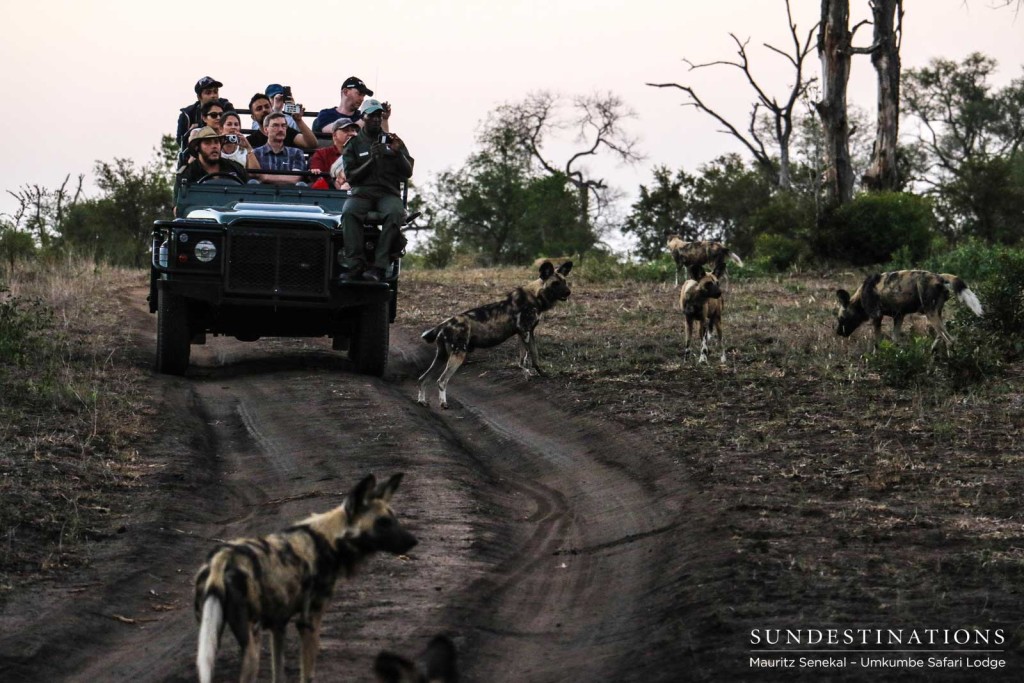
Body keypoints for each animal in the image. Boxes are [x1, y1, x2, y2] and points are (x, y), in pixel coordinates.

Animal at [192, 475, 415, 683]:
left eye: (393, 519)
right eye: (382, 523)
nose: (414, 540)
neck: (330, 539)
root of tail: (223, 558)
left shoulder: (278, 626)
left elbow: (278, 673)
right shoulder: (310, 622)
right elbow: (307, 675)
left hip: (210, 635)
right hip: (252, 643)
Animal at [417, 259, 577, 409]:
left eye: (565, 282)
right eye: (555, 283)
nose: (568, 292)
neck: (535, 296)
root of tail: (445, 324)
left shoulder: (527, 333)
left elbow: (532, 357)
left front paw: (540, 374)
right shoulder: (524, 331)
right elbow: (525, 358)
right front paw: (528, 374)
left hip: (442, 356)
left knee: (423, 378)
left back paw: (422, 401)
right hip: (458, 355)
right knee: (441, 380)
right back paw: (443, 403)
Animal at [835, 270, 987, 352]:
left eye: (841, 318)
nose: (838, 333)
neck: (860, 298)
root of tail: (939, 276)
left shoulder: (876, 316)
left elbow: (877, 343)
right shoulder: (899, 316)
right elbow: (895, 339)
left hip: (930, 313)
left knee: (949, 340)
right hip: (936, 313)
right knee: (944, 335)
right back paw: (933, 352)